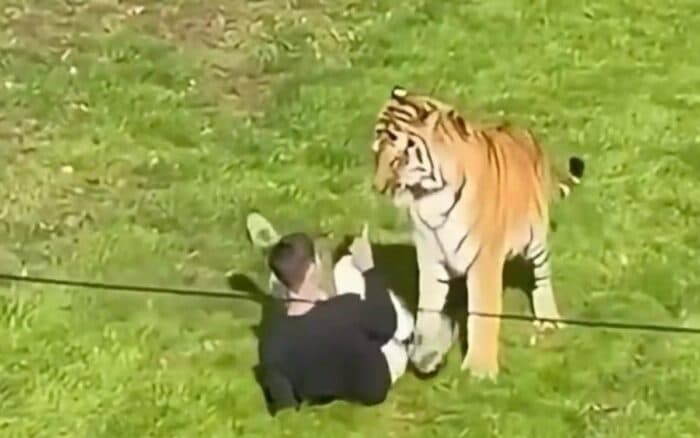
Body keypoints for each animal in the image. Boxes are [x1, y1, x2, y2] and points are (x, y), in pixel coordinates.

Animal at [369, 86, 586, 379]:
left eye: (399, 158)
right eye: (376, 153)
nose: (378, 187)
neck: (429, 198)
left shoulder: (484, 259)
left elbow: (482, 313)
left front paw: (479, 370)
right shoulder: (430, 257)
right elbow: (427, 310)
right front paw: (426, 356)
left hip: (536, 239)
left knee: (542, 277)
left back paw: (548, 319)